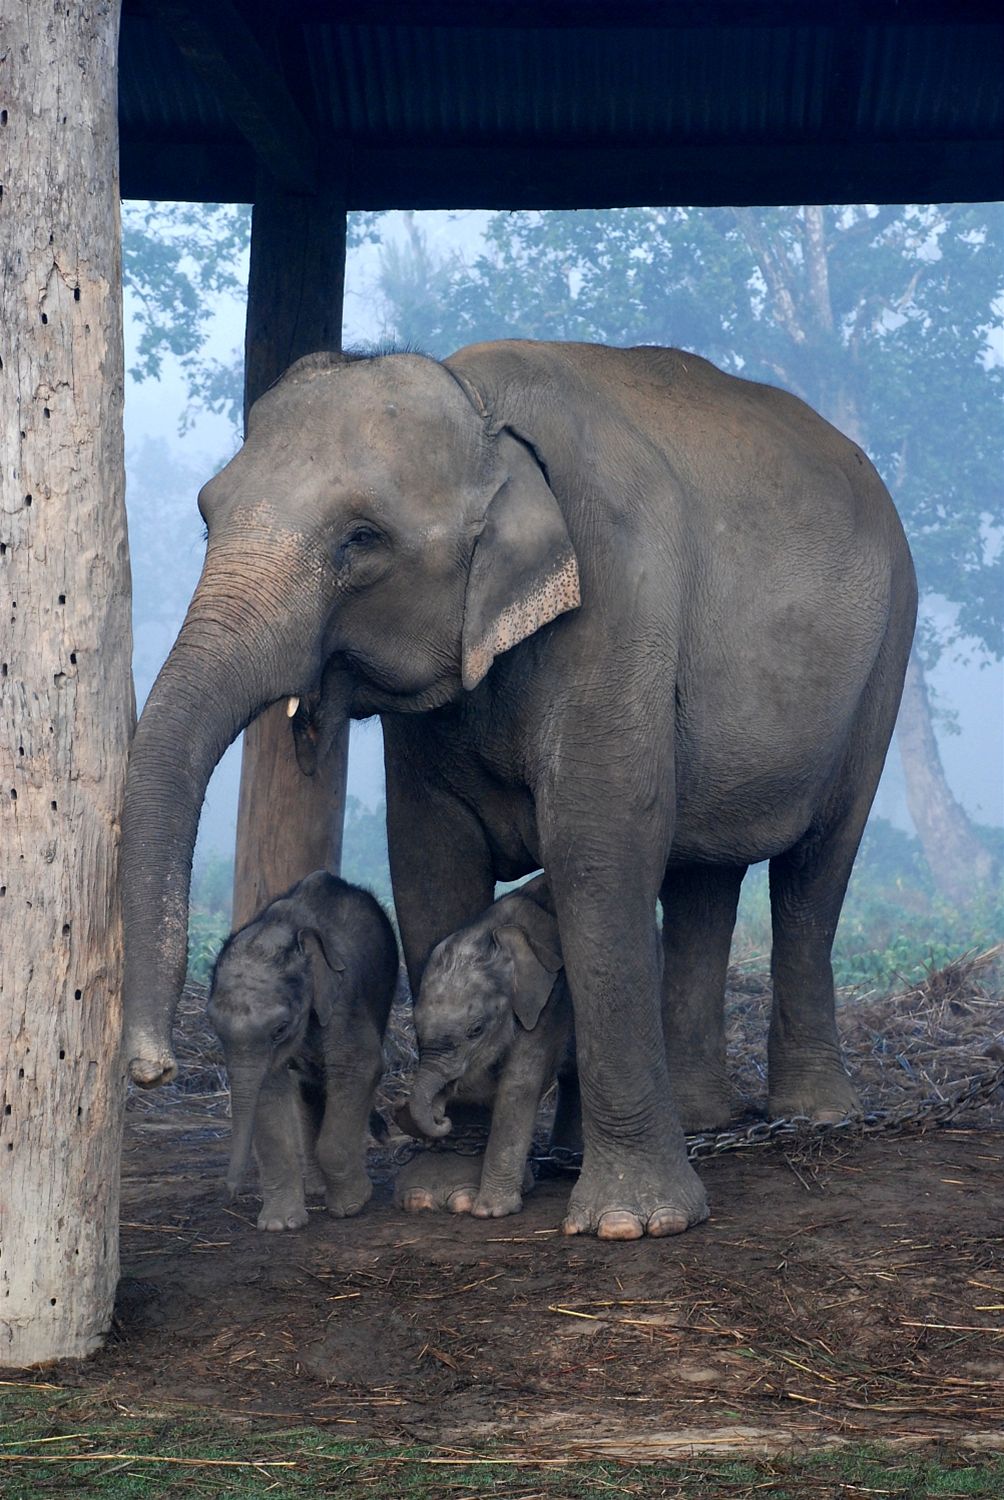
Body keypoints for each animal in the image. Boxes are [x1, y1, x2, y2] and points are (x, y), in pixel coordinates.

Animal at [205, 870, 396, 1230]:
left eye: (280, 1029)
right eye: (214, 1028)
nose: (227, 1196)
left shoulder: (344, 997)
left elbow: (360, 1067)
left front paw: (352, 1205)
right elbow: (267, 1089)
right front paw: (280, 1224)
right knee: (310, 1089)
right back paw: (318, 1189)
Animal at [393, 876, 576, 1218]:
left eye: (476, 1030)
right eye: (416, 1028)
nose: (442, 1117)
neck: (494, 930)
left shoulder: (549, 1000)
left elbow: (517, 1083)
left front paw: (490, 1211)